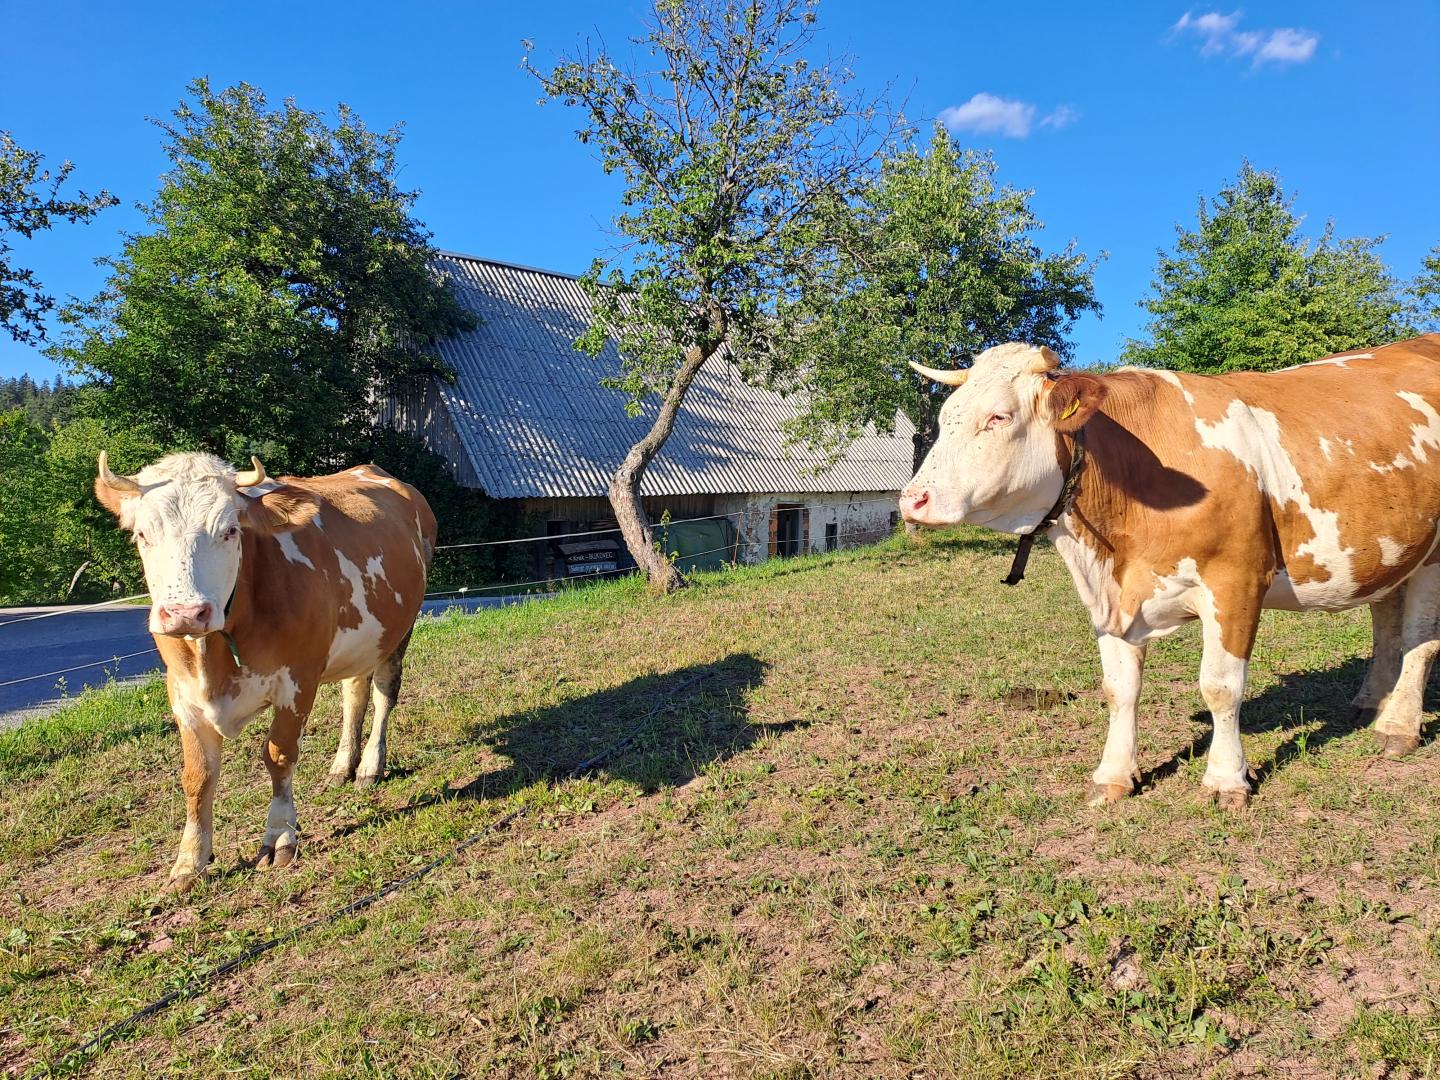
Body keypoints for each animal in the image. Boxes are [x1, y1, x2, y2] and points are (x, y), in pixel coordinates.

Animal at [95, 452, 434, 892]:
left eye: (230, 531)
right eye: (141, 535)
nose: (186, 613)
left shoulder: (298, 680)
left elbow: (279, 755)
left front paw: (280, 838)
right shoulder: (182, 695)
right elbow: (197, 776)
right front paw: (190, 862)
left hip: (398, 630)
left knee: (382, 693)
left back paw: (370, 766)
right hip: (359, 639)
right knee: (353, 693)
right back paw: (343, 764)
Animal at [898, 338, 1440, 812]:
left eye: (999, 417)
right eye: (944, 420)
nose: (912, 500)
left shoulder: (1236, 582)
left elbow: (1221, 687)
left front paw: (1226, 780)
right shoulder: (1110, 597)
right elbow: (1119, 688)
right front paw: (1114, 776)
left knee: (1420, 638)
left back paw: (1398, 727)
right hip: (1390, 547)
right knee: (1386, 617)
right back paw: (1372, 701)